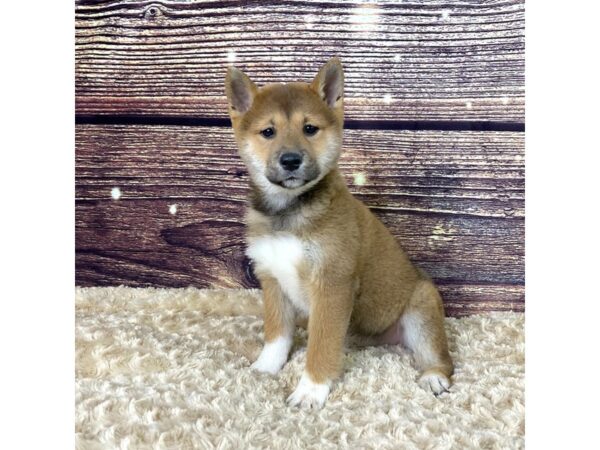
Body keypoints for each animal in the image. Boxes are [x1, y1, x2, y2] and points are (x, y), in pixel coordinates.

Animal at [227, 56, 452, 408]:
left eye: (309, 129)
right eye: (268, 132)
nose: (290, 160)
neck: (288, 212)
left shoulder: (332, 285)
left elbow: (321, 345)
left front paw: (311, 389)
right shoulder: (272, 279)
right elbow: (276, 334)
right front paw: (265, 367)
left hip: (422, 309)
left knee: (440, 357)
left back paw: (433, 377)